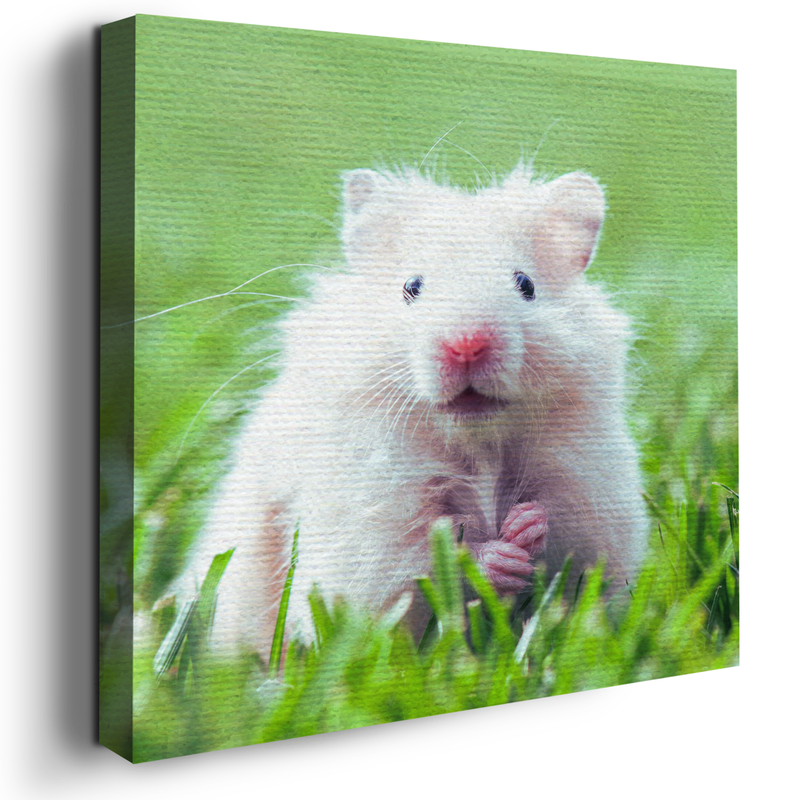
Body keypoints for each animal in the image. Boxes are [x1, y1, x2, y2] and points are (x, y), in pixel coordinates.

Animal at [173, 163, 648, 659]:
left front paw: (525, 525)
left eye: (526, 285)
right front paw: (500, 557)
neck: (476, 440)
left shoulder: (590, 497)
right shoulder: (373, 528)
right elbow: (431, 558)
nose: (467, 344)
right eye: (411, 288)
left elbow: (564, 535)